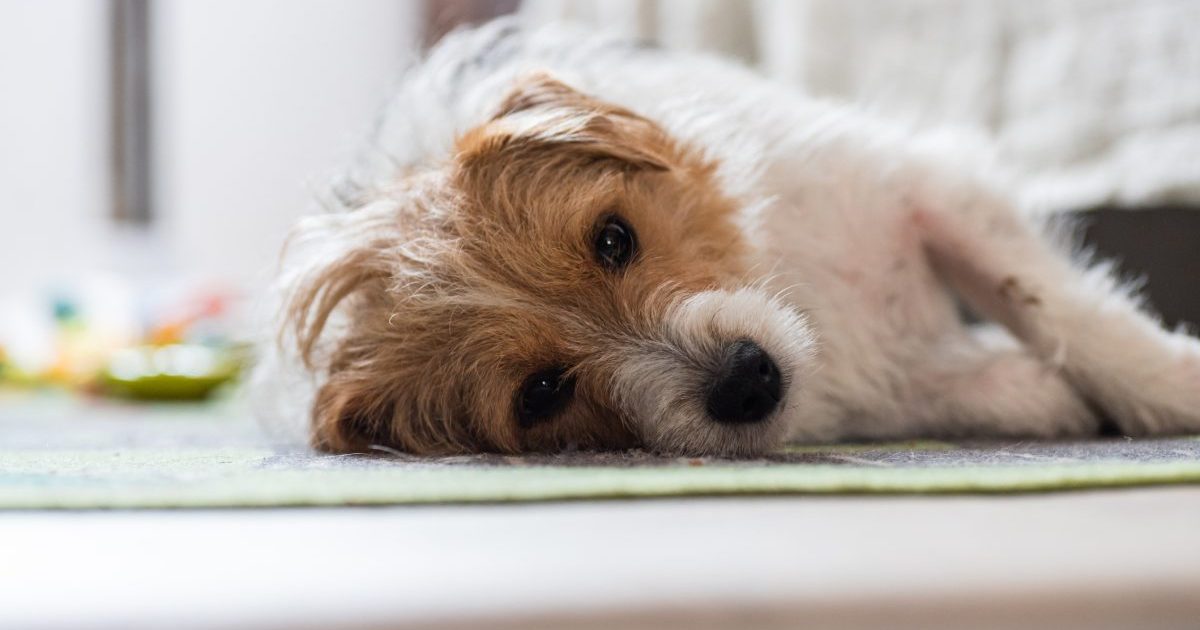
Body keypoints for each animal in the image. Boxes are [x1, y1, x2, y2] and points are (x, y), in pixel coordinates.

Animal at [255, 17, 1200, 453]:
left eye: (613, 239)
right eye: (542, 394)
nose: (749, 383)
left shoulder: (933, 189)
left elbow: (1065, 311)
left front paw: (1170, 384)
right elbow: (978, 379)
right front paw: (1038, 392)